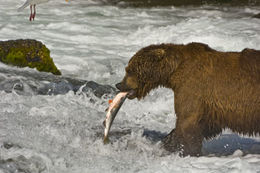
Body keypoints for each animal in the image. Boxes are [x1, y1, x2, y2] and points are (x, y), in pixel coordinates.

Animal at [116, 42, 260, 157]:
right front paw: (167, 144)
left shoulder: (192, 88)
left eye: (129, 70)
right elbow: (205, 124)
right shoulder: (210, 105)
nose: (119, 84)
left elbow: (187, 122)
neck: (174, 73)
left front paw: (188, 152)